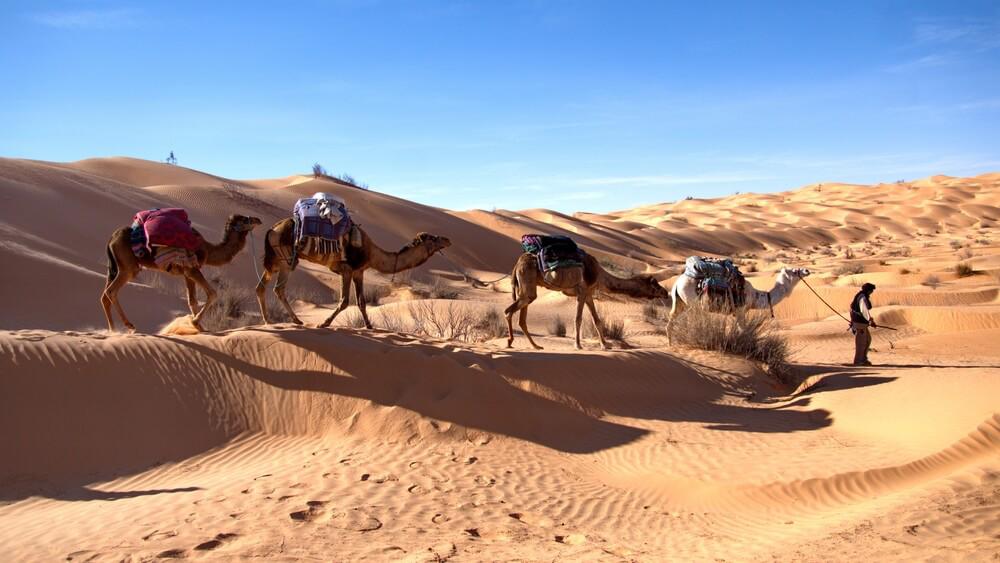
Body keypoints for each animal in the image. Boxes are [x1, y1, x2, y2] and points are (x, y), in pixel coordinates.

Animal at [101, 214, 263, 332]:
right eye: (244, 219)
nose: (258, 219)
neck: (208, 250)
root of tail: (111, 238)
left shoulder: (186, 273)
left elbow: (192, 300)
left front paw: (199, 327)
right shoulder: (193, 269)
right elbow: (212, 293)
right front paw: (195, 322)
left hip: (114, 268)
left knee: (104, 296)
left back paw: (113, 331)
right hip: (128, 267)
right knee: (111, 291)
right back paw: (129, 325)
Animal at [255, 219, 451, 328]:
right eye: (433, 238)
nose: (447, 239)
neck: (372, 253)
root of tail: (271, 229)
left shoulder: (359, 272)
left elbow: (361, 302)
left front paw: (369, 326)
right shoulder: (346, 269)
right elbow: (344, 301)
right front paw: (324, 323)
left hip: (275, 260)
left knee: (260, 287)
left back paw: (268, 321)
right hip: (287, 259)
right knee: (278, 289)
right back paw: (296, 321)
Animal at [505, 252, 671, 350]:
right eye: (654, 283)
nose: (665, 292)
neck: (600, 275)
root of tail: (517, 265)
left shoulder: (589, 294)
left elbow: (597, 320)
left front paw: (605, 345)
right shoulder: (582, 291)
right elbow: (578, 319)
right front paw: (578, 345)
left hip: (524, 286)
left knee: (522, 317)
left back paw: (535, 346)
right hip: (527, 281)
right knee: (509, 310)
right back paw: (510, 341)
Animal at [667, 265, 811, 342]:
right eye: (794, 271)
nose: (806, 270)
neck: (755, 296)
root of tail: (677, 283)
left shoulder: (736, 313)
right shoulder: (741, 310)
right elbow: (743, 330)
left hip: (679, 301)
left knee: (671, 319)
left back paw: (671, 344)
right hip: (693, 302)